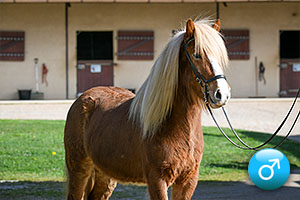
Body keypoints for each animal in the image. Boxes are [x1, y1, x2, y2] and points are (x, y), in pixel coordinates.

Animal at [65, 18, 230, 199]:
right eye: (197, 54)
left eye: (220, 57)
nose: (222, 94)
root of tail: (83, 98)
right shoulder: (157, 180)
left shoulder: (188, 181)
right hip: (79, 168)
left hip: (105, 174)